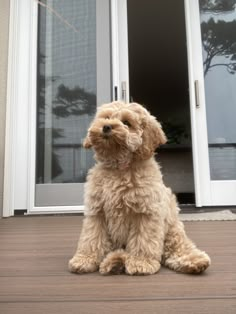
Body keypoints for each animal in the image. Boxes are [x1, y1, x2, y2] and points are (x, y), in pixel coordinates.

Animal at [68, 102, 210, 274]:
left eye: (126, 123)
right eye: (106, 117)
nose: (107, 126)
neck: (119, 167)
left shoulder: (146, 212)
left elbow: (143, 239)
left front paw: (140, 263)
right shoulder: (97, 213)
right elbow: (91, 238)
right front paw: (85, 260)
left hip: (172, 230)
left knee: (177, 247)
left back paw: (195, 261)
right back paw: (114, 262)